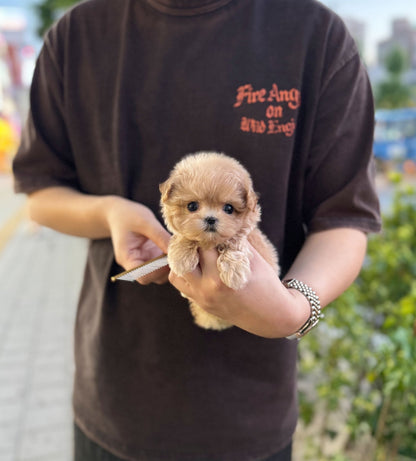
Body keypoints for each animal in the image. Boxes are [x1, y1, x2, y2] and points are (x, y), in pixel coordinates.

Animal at [159, 153, 280, 328]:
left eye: (229, 208)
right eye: (192, 206)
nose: (210, 219)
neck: (210, 242)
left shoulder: (247, 237)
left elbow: (235, 242)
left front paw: (234, 272)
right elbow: (185, 236)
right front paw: (181, 259)